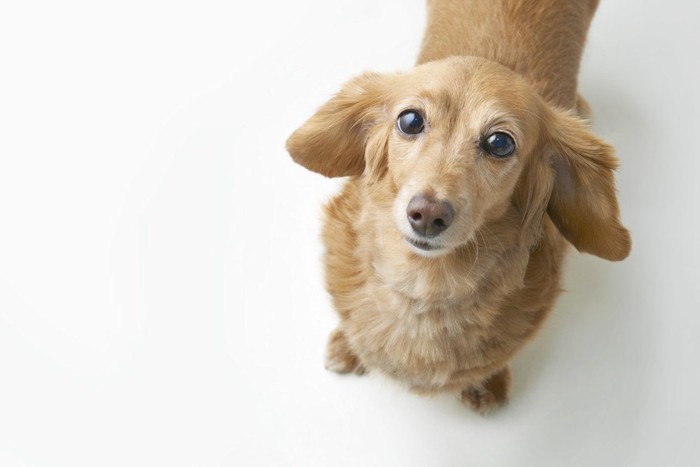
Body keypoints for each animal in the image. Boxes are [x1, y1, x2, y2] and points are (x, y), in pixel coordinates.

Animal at [284, 0, 628, 416]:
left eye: (500, 143)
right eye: (410, 120)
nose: (428, 214)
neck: (425, 288)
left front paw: (489, 381)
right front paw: (350, 346)